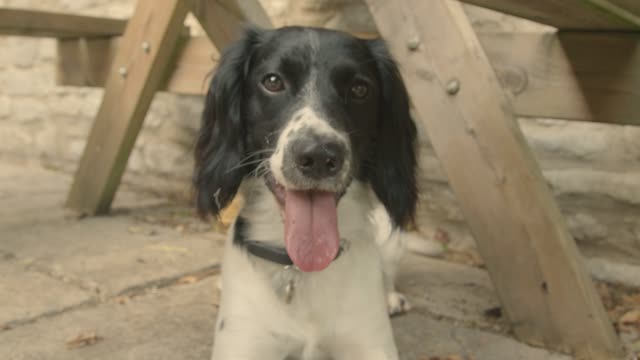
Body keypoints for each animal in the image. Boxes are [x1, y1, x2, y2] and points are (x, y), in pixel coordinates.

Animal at [192, 26, 418, 360]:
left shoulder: (371, 345)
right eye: (273, 81)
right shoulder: (241, 344)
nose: (320, 156)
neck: (299, 269)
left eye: (360, 88)